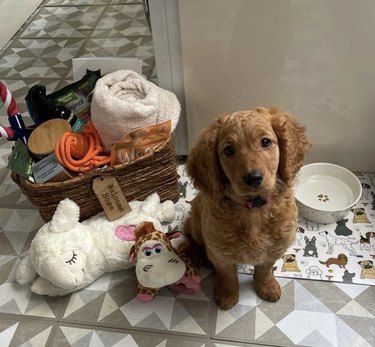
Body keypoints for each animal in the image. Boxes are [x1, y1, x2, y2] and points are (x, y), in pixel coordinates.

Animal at [184, 108, 310, 310]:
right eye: (228, 150)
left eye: (265, 142)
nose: (253, 178)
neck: (254, 208)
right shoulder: (220, 253)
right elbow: (227, 275)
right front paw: (227, 295)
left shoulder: (275, 248)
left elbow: (264, 270)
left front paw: (267, 287)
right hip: (196, 224)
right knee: (190, 235)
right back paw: (199, 256)